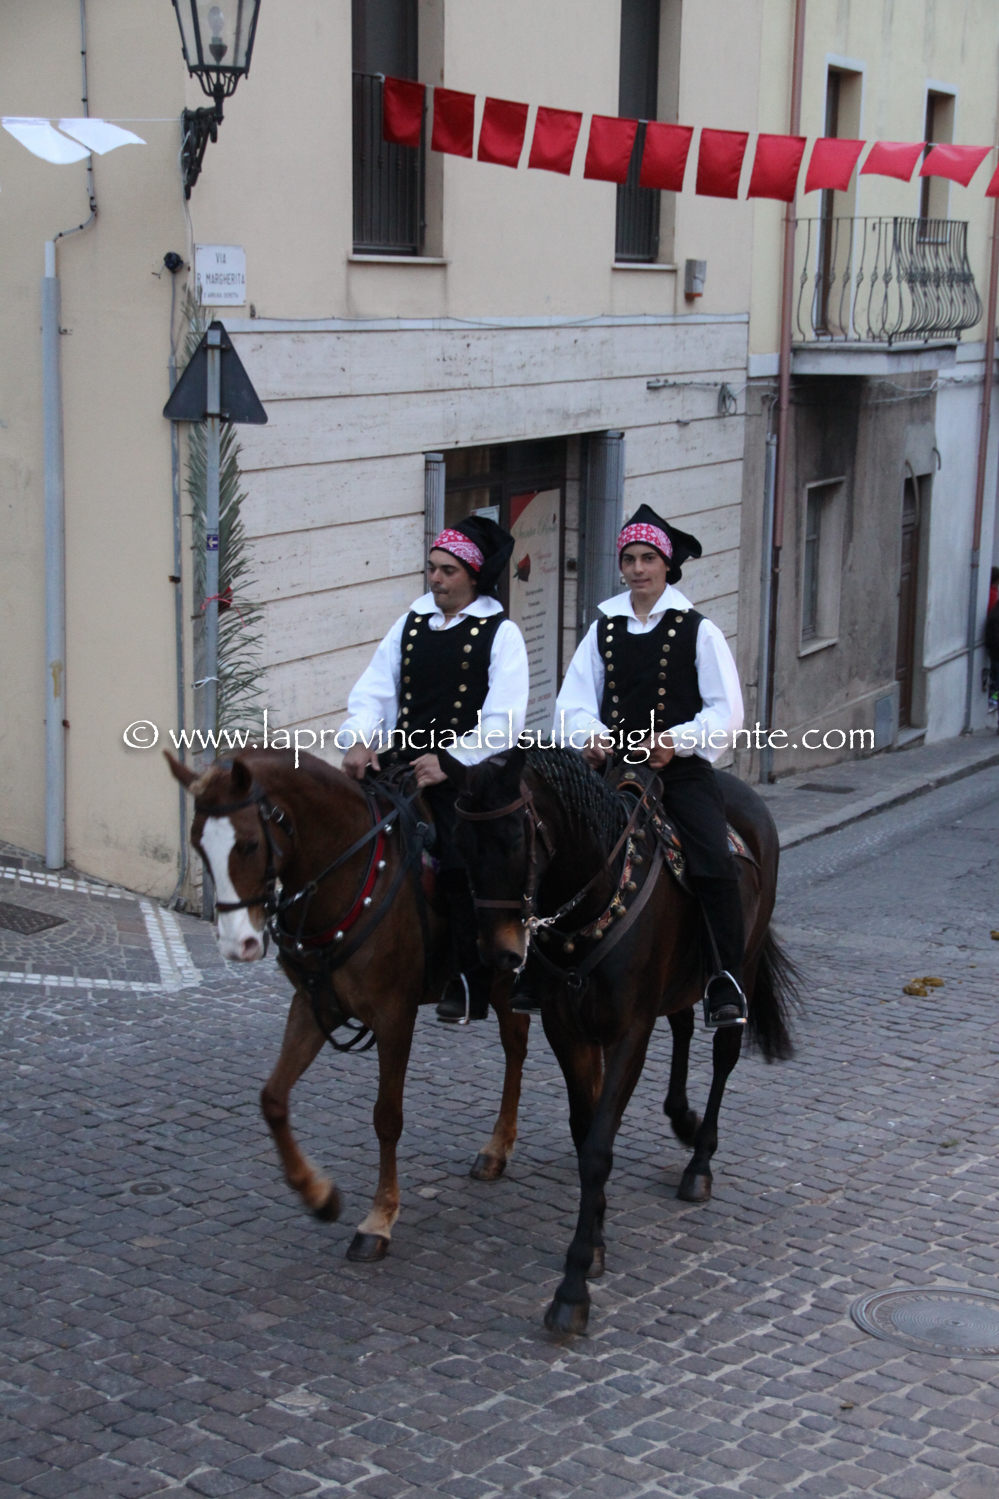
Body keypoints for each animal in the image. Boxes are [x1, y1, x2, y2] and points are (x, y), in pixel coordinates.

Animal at [165, 749, 531, 1260]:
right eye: (199, 846)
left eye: (251, 845)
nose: (238, 945)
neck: (350, 874)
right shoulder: (313, 1005)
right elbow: (273, 1098)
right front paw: (318, 1195)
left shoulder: (394, 1017)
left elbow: (387, 1118)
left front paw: (379, 1218)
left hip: (504, 972)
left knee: (516, 1047)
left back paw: (499, 1147)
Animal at [443, 745, 797, 1335]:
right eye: (462, 846)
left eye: (516, 839)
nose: (499, 954)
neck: (598, 896)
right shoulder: (568, 1029)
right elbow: (585, 1131)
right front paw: (598, 1238)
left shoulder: (629, 1032)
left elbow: (597, 1150)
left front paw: (573, 1287)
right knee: (682, 1028)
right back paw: (682, 1118)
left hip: (739, 967)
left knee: (723, 1054)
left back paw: (699, 1163)